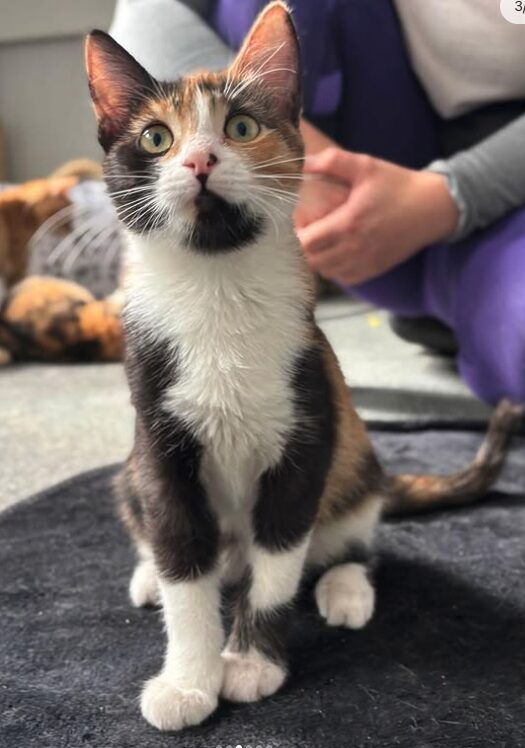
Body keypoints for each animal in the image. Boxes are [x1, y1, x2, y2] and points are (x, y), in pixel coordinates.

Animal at [85, 2, 520, 732]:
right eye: (155, 138)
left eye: (240, 126)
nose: (199, 159)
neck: (216, 290)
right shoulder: (159, 441)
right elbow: (183, 565)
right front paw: (188, 680)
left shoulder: (309, 427)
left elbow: (279, 558)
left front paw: (251, 663)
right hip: (130, 470)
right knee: (162, 533)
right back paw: (149, 575)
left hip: (354, 453)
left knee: (350, 536)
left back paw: (345, 586)